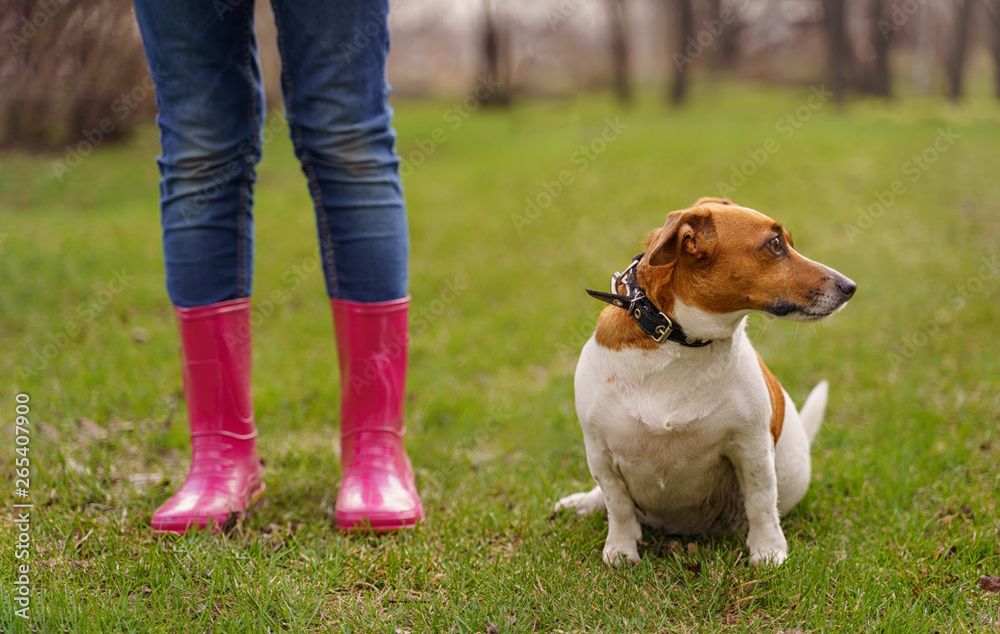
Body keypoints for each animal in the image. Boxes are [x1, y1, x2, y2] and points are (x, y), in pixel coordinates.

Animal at [556, 196, 852, 564]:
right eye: (775, 244)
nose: (850, 287)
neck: (679, 344)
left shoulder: (752, 447)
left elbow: (761, 501)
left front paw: (768, 550)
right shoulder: (600, 453)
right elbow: (618, 504)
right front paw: (621, 549)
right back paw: (582, 503)